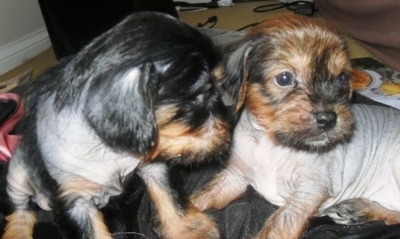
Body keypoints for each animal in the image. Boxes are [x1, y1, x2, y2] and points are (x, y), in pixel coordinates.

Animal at [191, 14, 360, 238]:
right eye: (284, 78)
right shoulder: (235, 175)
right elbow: (202, 196)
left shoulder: (308, 192)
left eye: (342, 77)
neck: (272, 144)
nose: (329, 118)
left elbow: (279, 225)